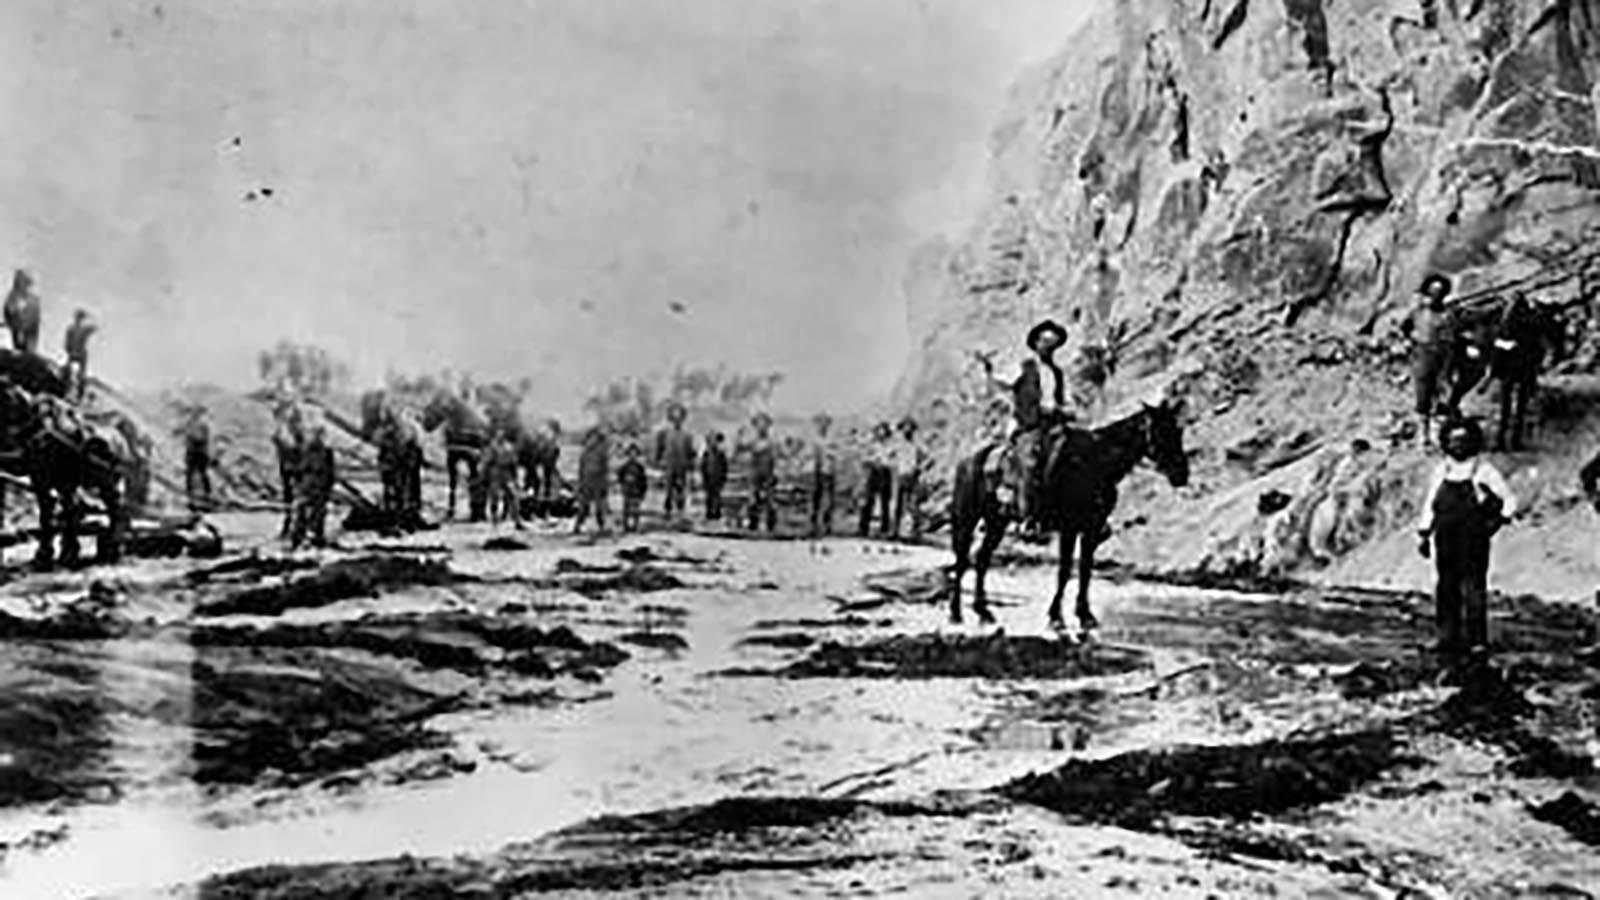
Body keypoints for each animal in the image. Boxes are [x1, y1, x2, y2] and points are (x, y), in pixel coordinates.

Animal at [0, 379, 134, 566]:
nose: (36, 441)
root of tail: (120, 440)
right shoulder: (47, 481)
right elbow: (51, 513)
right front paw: (51, 552)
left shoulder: (49, 480)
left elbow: (54, 513)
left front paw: (53, 553)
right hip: (109, 483)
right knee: (115, 508)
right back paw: (110, 548)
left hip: (103, 482)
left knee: (112, 509)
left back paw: (108, 548)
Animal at [947, 398, 1190, 630]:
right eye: (1161, 431)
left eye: (1178, 431)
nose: (1182, 474)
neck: (1095, 464)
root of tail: (968, 460)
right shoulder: (1069, 528)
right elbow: (1064, 571)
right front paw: (1056, 617)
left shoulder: (1092, 528)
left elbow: (1085, 570)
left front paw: (1085, 615)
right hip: (967, 519)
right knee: (961, 561)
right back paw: (955, 613)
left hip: (997, 522)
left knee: (981, 560)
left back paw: (983, 612)